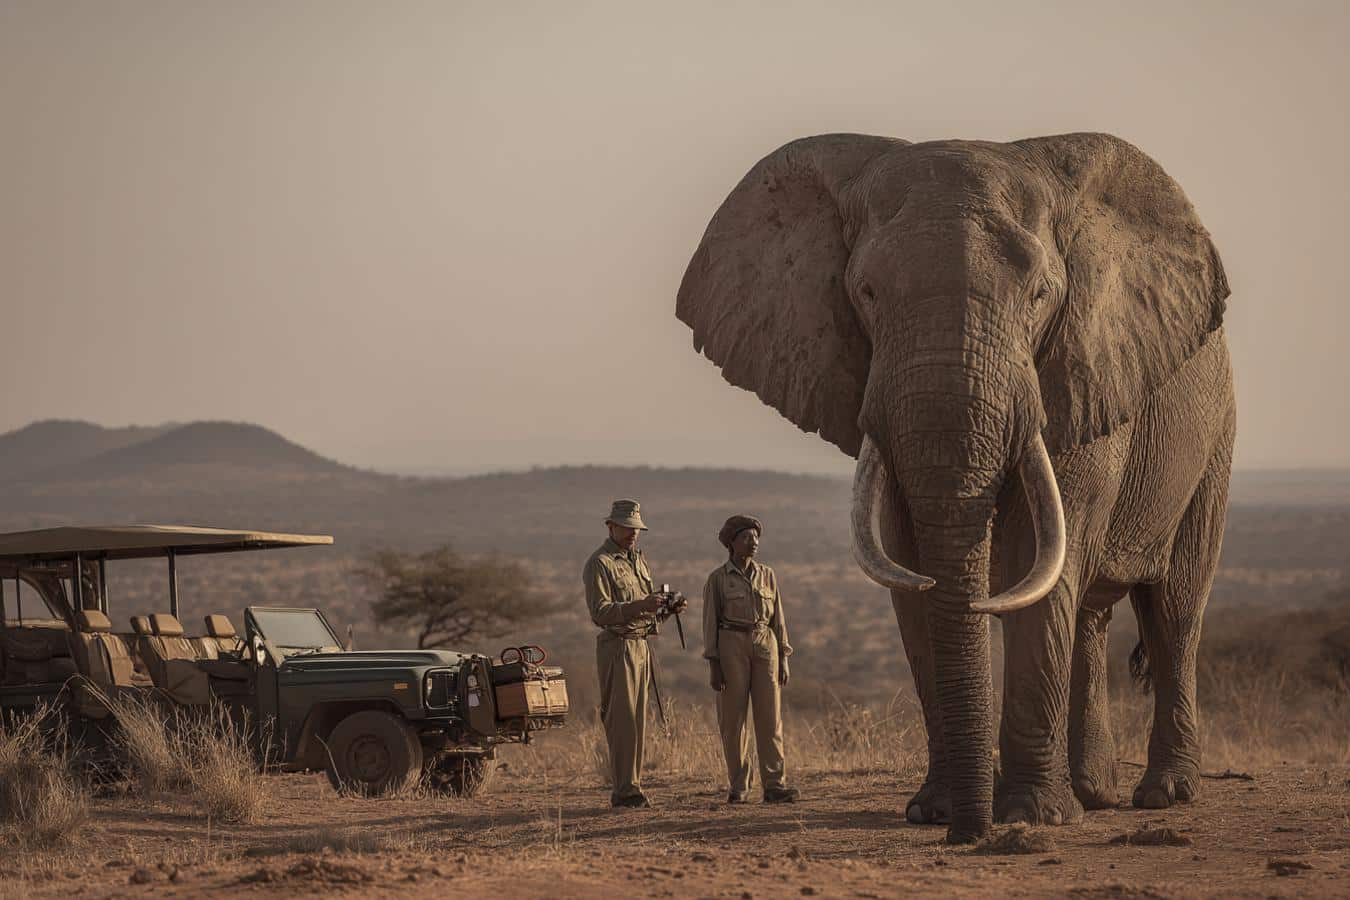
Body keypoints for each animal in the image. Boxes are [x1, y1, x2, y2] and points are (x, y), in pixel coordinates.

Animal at [675, 132, 1234, 844]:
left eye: (1041, 294)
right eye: (866, 291)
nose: (972, 834)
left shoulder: (1082, 371)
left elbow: (1036, 562)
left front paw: (1031, 815)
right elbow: (909, 568)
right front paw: (934, 811)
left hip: (1214, 436)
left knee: (1175, 608)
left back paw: (1162, 795)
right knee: (1090, 615)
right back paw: (1093, 794)